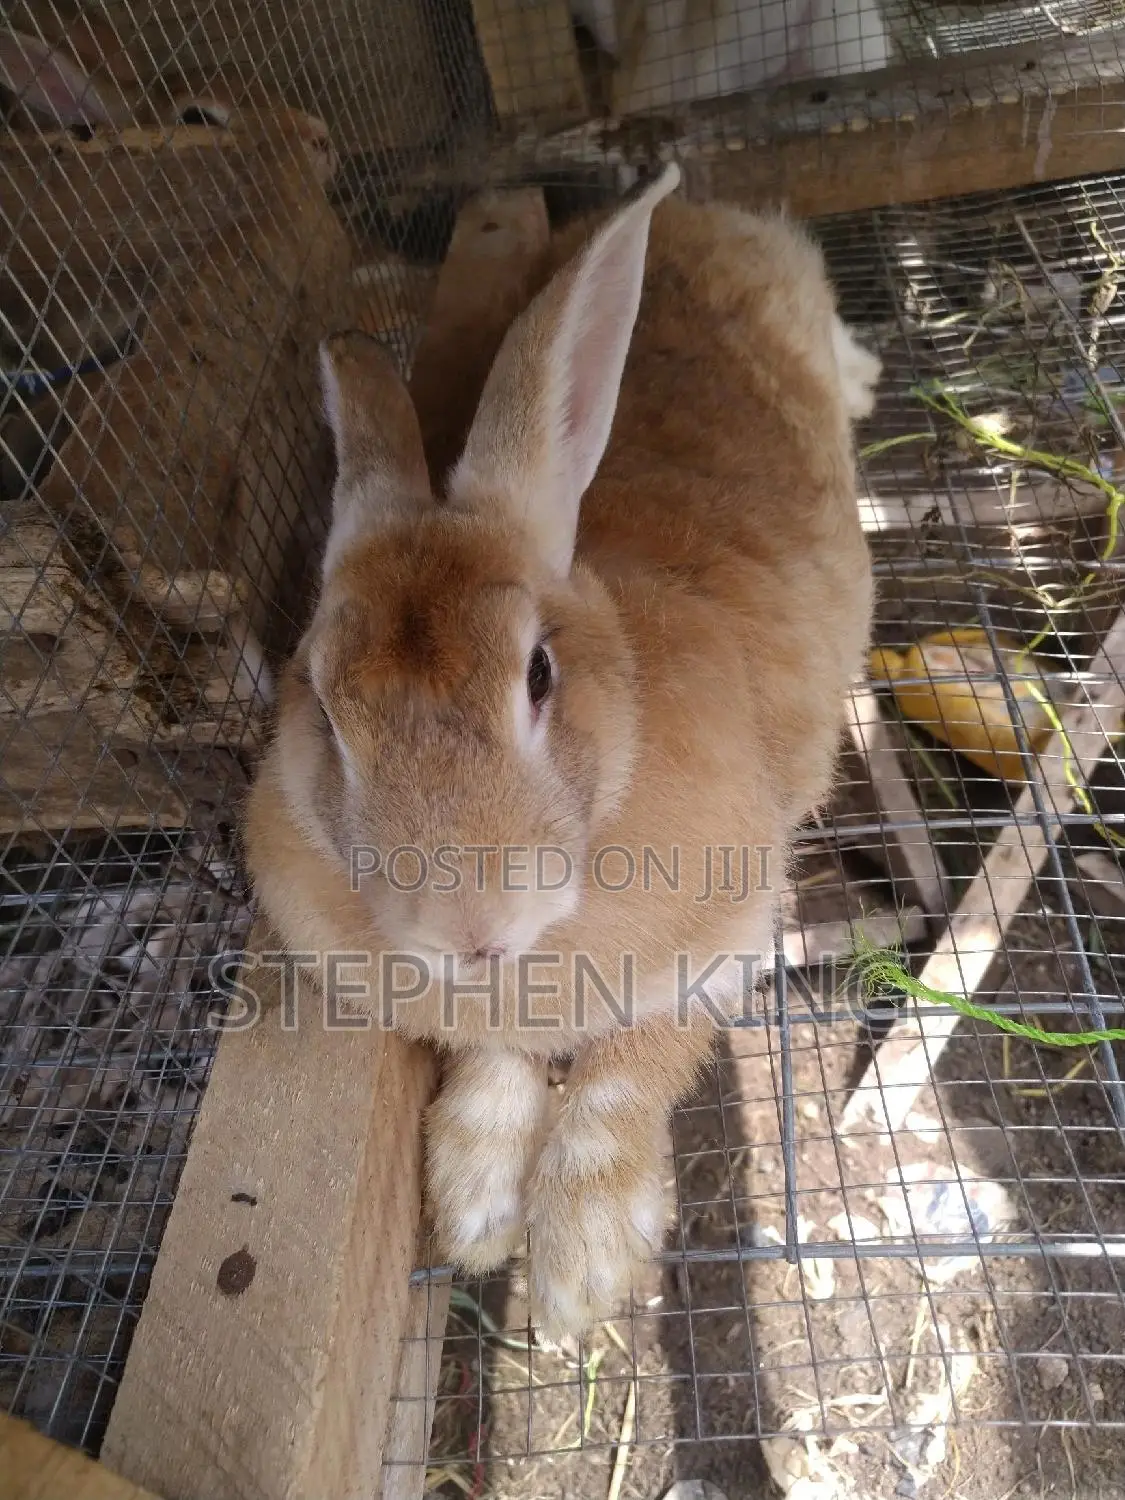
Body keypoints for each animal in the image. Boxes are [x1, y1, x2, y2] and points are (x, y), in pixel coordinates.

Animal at [243, 160, 878, 1343]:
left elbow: (628, 1076)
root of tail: (685, 216)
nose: (468, 931)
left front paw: (579, 1269)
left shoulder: (722, 942)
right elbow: (497, 1062)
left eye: (538, 674)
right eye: (323, 707)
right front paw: (475, 1204)